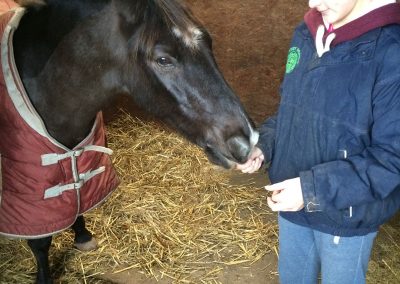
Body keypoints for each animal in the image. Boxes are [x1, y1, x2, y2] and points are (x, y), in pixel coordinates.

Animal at [0, 0, 260, 282]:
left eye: (209, 42)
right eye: (163, 59)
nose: (247, 141)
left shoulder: (81, 160)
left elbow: (79, 198)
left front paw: (82, 235)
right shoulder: (31, 193)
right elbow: (41, 241)